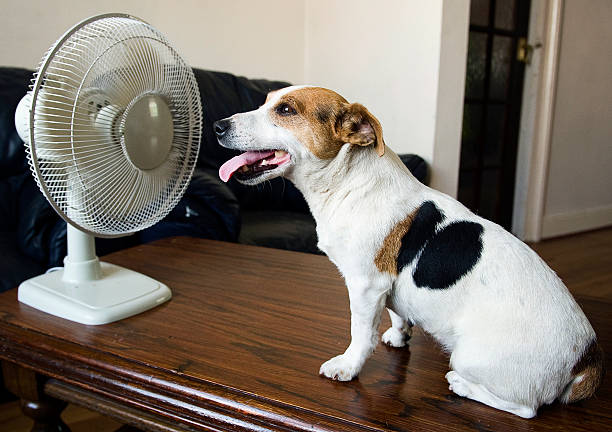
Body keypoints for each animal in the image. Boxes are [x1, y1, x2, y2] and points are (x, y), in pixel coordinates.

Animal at [214, 86, 604, 416]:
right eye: (267, 101)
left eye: (285, 110)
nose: (218, 126)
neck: (349, 181)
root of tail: (586, 359)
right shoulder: (387, 286)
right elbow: (398, 313)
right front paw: (400, 337)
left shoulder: (365, 286)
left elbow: (361, 334)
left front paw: (348, 367)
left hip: (470, 358)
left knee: (525, 409)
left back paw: (462, 386)